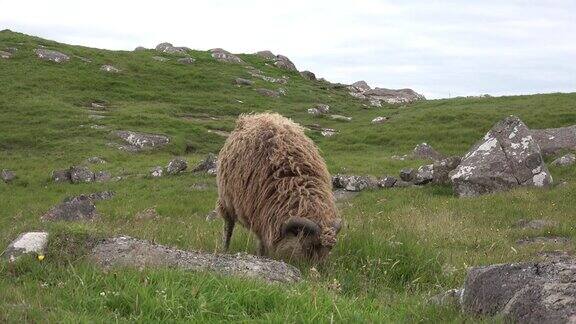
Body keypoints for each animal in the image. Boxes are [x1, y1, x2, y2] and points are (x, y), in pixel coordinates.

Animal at [216, 112, 342, 262]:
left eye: (330, 248)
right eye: (309, 246)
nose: (317, 268)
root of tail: (257, 116)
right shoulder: (260, 214)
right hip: (227, 199)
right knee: (228, 226)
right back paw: (224, 249)